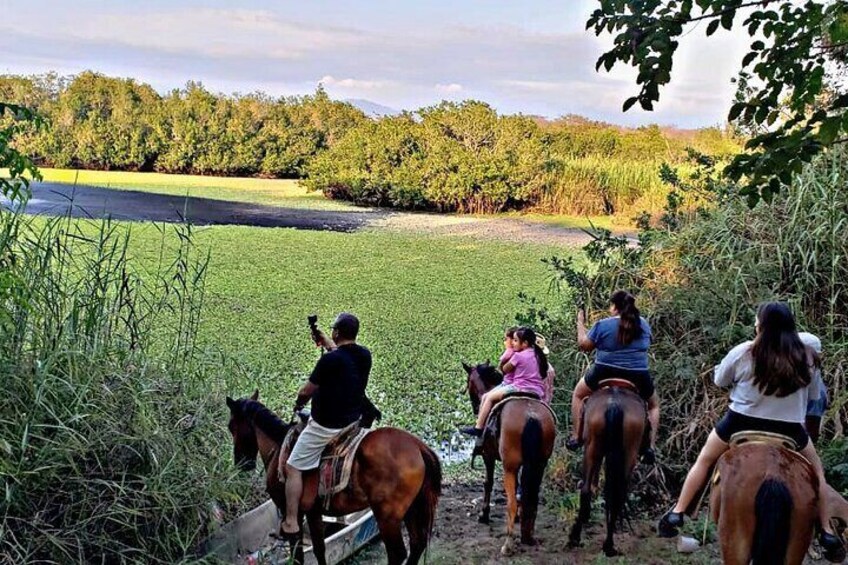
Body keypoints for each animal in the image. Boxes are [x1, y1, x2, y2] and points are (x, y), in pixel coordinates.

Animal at [225, 390, 444, 564]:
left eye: (230, 426)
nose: (241, 463)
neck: (279, 445)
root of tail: (418, 446)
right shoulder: (313, 512)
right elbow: (319, 549)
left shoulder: (292, 512)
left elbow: (298, 555)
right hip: (411, 508)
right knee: (417, 544)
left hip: (388, 516)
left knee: (398, 553)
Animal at [460, 360, 560, 552]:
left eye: (469, 383)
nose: (476, 408)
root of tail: (531, 416)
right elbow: (520, 488)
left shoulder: (488, 456)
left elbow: (488, 483)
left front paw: (484, 515)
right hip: (539, 464)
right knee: (531, 498)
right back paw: (528, 536)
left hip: (509, 466)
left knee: (511, 502)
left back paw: (508, 543)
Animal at [568, 384, 644, 556]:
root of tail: (615, 405)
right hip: (628, 454)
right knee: (615, 496)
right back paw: (608, 544)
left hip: (592, 448)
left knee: (587, 490)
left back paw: (576, 536)